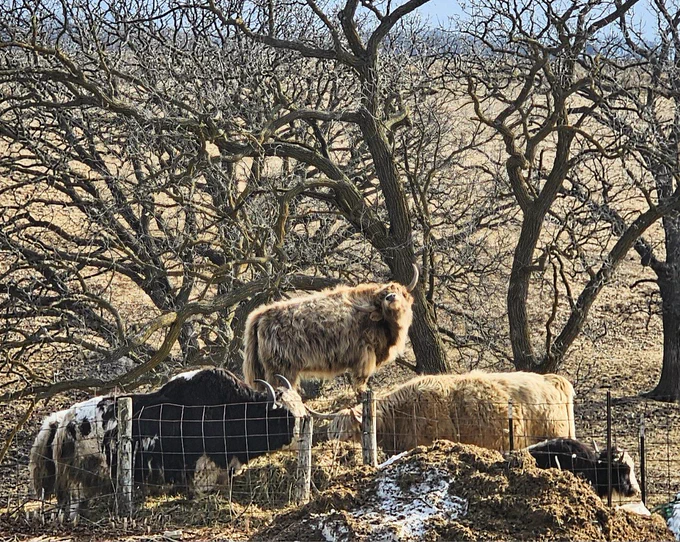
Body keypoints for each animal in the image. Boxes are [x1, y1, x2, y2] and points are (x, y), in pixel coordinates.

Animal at [29, 368, 306, 519]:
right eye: (285, 415)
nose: (305, 434)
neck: (230, 412)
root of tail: (62, 418)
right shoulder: (201, 470)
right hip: (77, 475)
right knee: (71, 503)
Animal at [243, 265, 418, 393]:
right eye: (382, 298)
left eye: (399, 292)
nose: (391, 297)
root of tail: (261, 314)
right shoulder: (365, 354)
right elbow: (361, 379)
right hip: (281, 370)